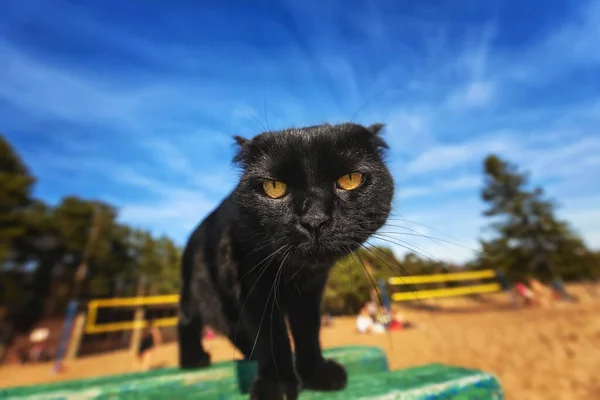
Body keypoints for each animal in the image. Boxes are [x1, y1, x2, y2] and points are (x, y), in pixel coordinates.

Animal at [177, 122, 394, 400]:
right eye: (273, 187)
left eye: (350, 180)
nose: (314, 219)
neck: (297, 273)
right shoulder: (254, 288)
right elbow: (273, 338)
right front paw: (276, 385)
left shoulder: (310, 292)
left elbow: (307, 331)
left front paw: (315, 374)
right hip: (198, 291)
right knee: (187, 320)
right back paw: (194, 359)